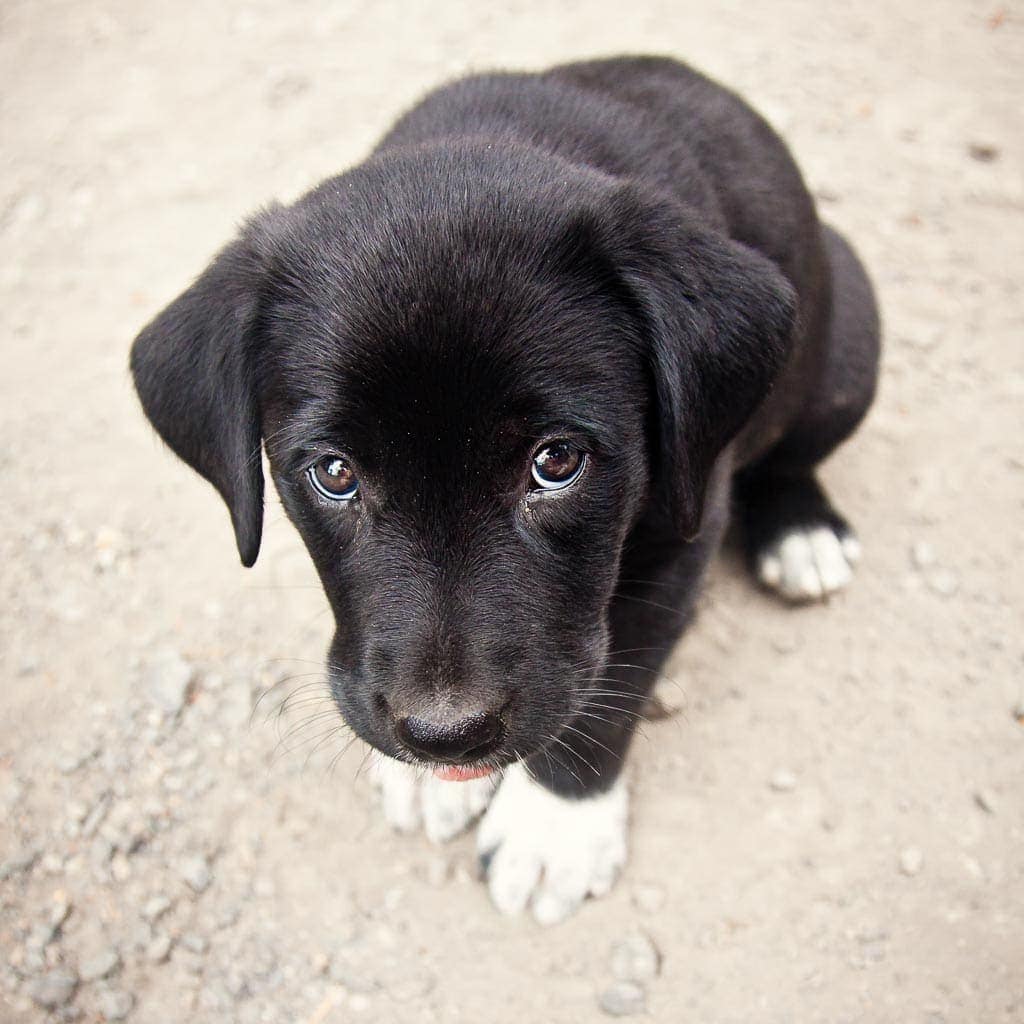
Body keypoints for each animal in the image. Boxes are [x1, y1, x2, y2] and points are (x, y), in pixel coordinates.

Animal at [130, 54, 880, 921]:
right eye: (334, 473)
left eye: (556, 462)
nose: (445, 734)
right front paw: (441, 784)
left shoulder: (683, 528)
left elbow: (612, 683)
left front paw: (554, 829)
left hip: (847, 336)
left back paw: (802, 531)